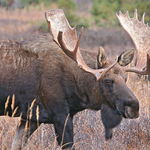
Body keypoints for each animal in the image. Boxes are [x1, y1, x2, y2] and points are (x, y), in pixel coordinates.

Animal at [0, 8, 149, 149]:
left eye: (126, 78)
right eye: (107, 80)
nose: (134, 107)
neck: (79, 91)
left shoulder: (31, 118)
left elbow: (16, 144)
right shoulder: (60, 115)